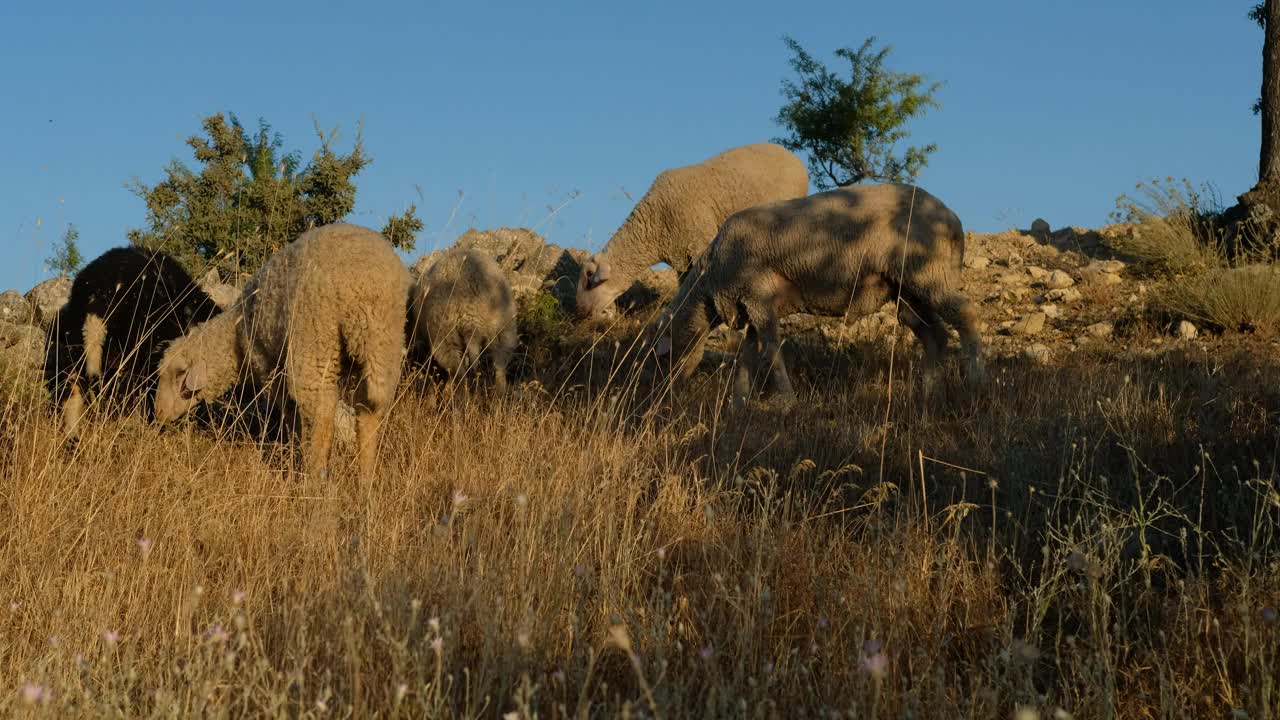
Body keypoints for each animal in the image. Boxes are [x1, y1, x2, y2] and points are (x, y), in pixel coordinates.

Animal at [153, 222, 409, 481]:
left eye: (177, 375)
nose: (158, 414)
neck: (235, 337)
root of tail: (365, 284)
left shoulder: (269, 365)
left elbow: (289, 411)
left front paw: (293, 451)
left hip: (316, 339)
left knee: (322, 410)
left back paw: (314, 476)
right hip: (383, 346)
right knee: (368, 410)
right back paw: (366, 478)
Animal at [576, 141, 803, 315]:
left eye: (589, 277)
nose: (580, 311)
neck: (654, 223)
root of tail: (793, 157)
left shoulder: (700, 243)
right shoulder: (681, 258)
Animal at [655, 181, 983, 404]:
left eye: (660, 357)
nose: (663, 396)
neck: (711, 276)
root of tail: (953, 219)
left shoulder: (757, 296)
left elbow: (770, 348)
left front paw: (787, 401)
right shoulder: (751, 302)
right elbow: (747, 354)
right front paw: (740, 404)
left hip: (928, 273)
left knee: (965, 314)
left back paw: (978, 381)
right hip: (909, 289)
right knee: (934, 334)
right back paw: (929, 393)